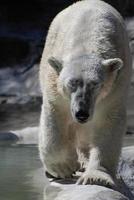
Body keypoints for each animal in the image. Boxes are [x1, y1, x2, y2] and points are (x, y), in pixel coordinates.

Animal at [38, 0, 131, 188]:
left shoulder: (115, 87)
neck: (86, 44)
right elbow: (55, 116)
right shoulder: (54, 84)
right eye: (71, 82)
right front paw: (63, 167)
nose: (81, 113)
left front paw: (96, 177)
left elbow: (107, 122)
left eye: (95, 84)